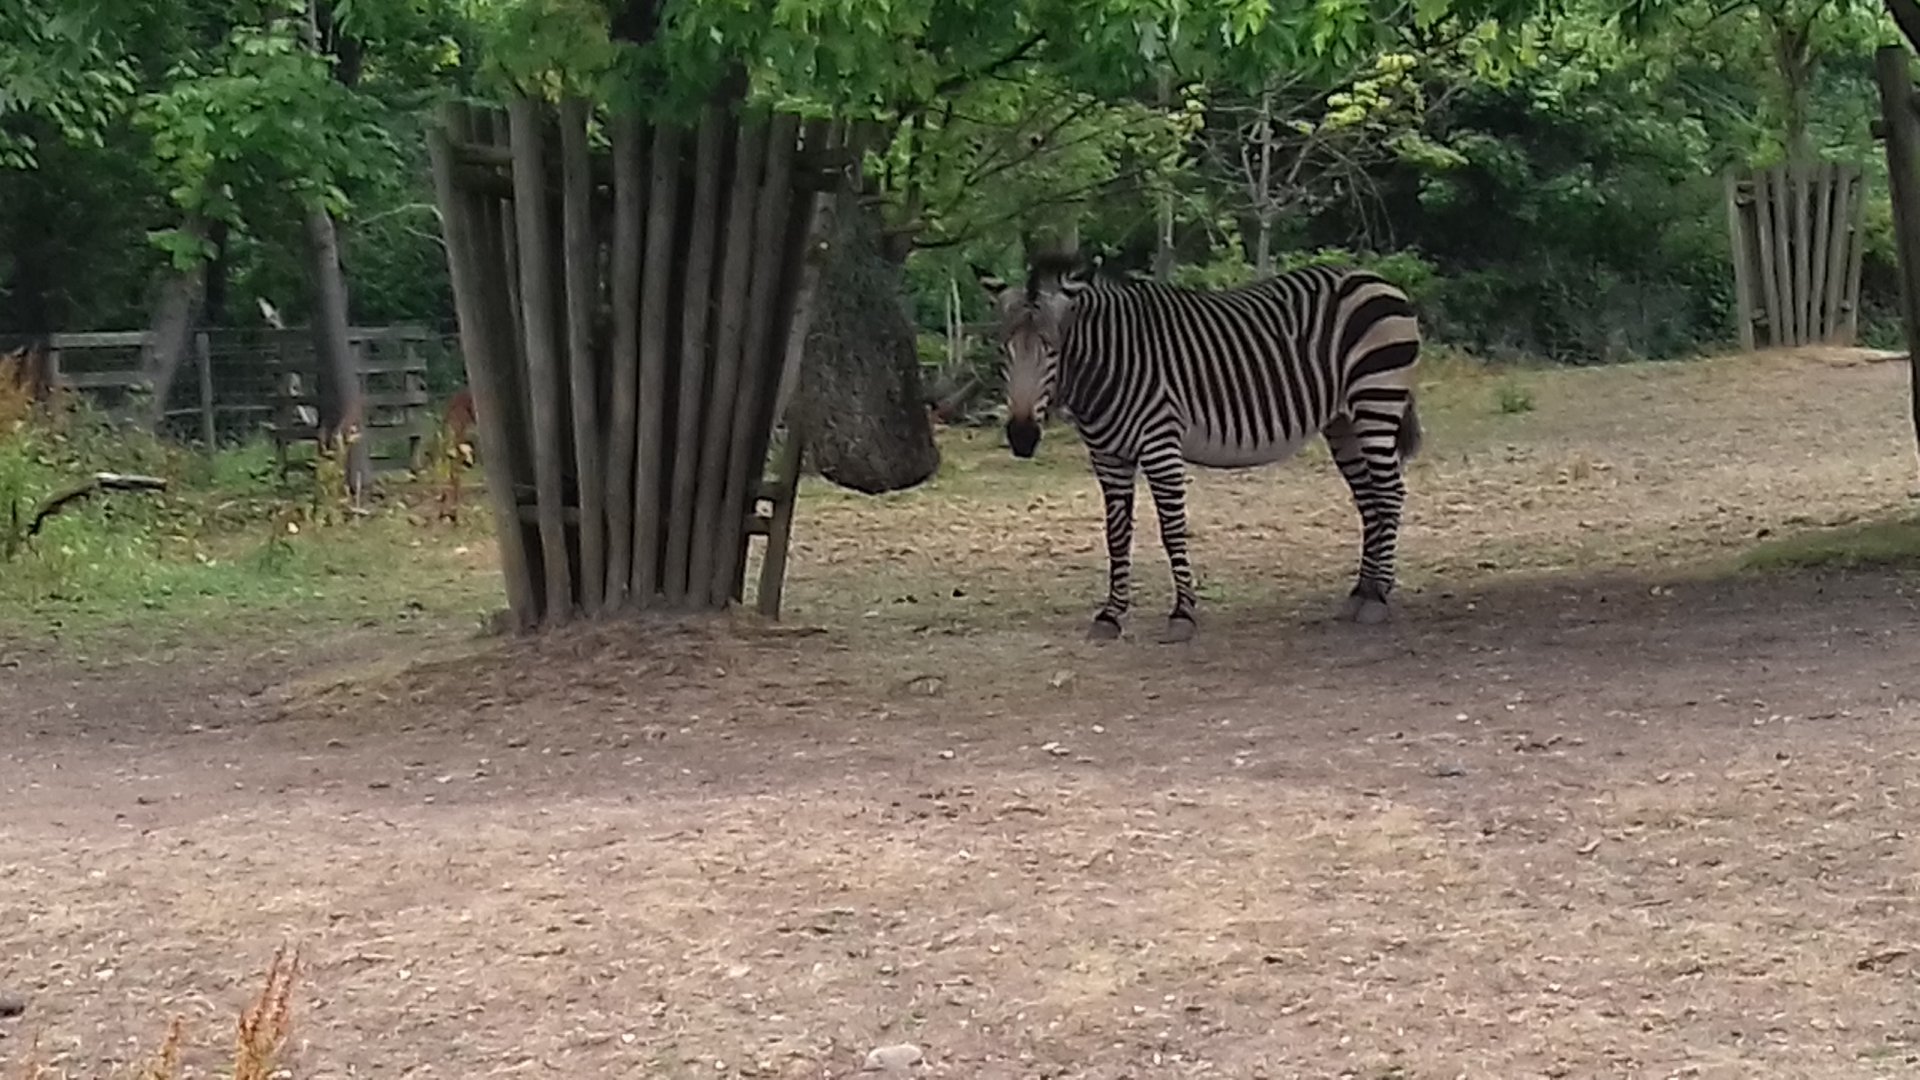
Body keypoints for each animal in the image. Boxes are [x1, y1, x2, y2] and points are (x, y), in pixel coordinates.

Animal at [974, 255, 1424, 643]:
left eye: (1053, 349)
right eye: (1004, 351)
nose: (1022, 437)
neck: (1107, 366)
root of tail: (1373, 277)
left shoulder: (1160, 444)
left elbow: (1172, 530)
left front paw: (1183, 614)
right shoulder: (1107, 456)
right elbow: (1116, 534)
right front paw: (1111, 615)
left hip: (1375, 399)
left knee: (1390, 493)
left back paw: (1377, 598)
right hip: (1343, 423)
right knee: (1369, 499)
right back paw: (1363, 591)